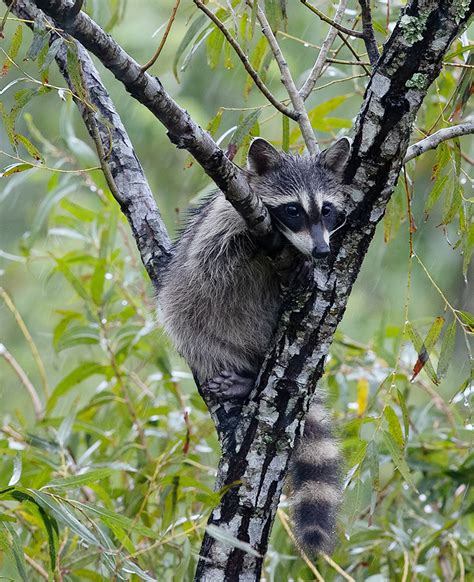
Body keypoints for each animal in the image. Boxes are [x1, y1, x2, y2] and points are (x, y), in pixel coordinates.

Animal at [157, 138, 350, 556]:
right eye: (293, 210)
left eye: (326, 210)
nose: (322, 252)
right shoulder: (223, 221)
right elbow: (213, 259)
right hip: (190, 317)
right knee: (191, 328)